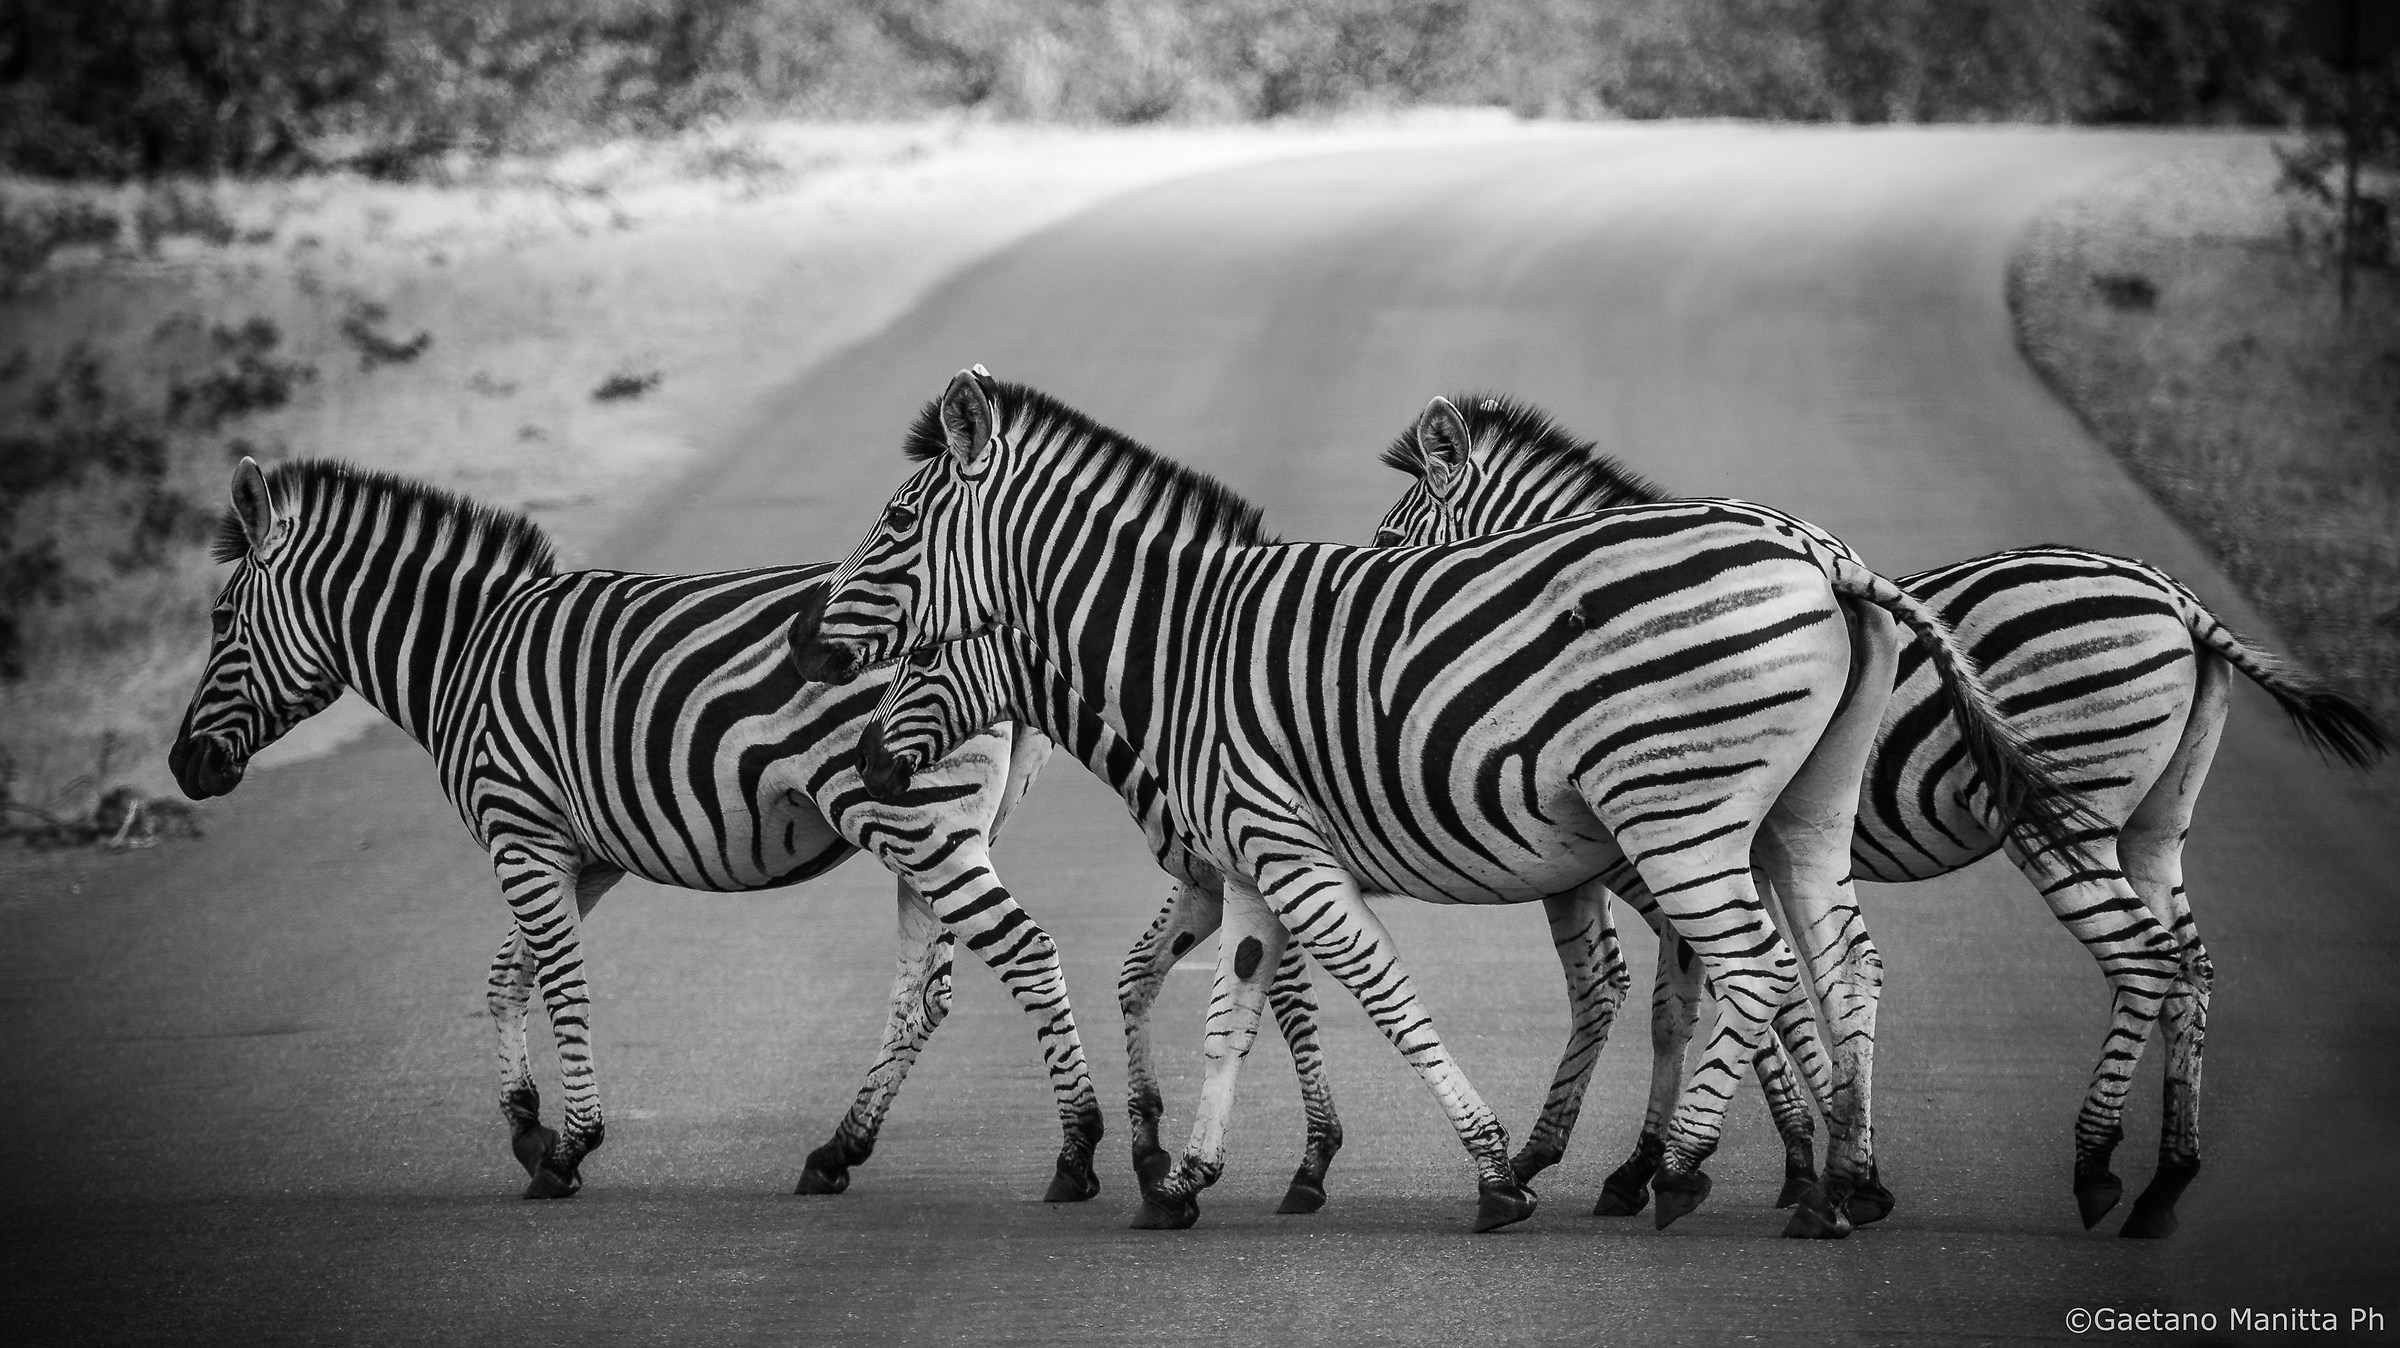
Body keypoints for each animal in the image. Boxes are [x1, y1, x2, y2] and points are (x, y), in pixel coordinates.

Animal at [167, 457, 1112, 1204]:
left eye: (218, 623)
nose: (181, 767)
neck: (464, 652)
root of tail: (996, 626)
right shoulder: (579, 853)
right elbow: (507, 976)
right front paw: (526, 1127)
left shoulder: (521, 832)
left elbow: (562, 984)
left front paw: (571, 1145)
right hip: (936, 827)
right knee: (926, 994)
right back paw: (837, 1150)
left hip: (913, 821)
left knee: (1024, 953)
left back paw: (1077, 1153)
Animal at [790, 368, 2088, 1237]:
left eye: (897, 526)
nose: (860, 754)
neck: (1181, 645)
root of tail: (1824, 554)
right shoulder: (1253, 860)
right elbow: (1234, 1010)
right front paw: (1189, 1177)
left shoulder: (1285, 848)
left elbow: (1383, 993)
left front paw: (1494, 1174)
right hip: (1800, 811)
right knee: (1839, 955)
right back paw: (1844, 1181)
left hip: (1674, 808)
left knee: (1753, 962)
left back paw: (1688, 1171)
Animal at [1369, 392, 2390, 1238]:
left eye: (1386, 540)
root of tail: (2178, 599)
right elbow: (1710, 1001)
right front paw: (1784, 1160)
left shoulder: (1670, 850)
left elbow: (1727, 998)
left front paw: (1743, 1160)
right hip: (2153, 828)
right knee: (2191, 966)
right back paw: (2164, 1186)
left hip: (2066, 819)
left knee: (2143, 958)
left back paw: (2097, 1167)